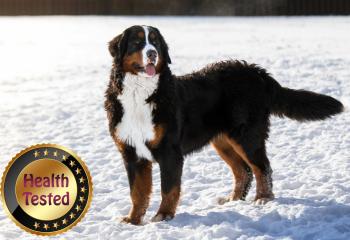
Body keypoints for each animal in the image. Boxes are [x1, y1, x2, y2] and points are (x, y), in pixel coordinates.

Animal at [104, 25, 344, 224]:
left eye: (155, 43)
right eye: (137, 42)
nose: (152, 53)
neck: (140, 95)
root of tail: (258, 73)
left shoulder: (169, 152)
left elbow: (168, 189)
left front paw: (163, 216)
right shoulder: (131, 153)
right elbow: (137, 192)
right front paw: (133, 220)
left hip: (247, 136)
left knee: (262, 167)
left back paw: (263, 198)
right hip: (224, 141)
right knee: (243, 172)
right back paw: (234, 200)